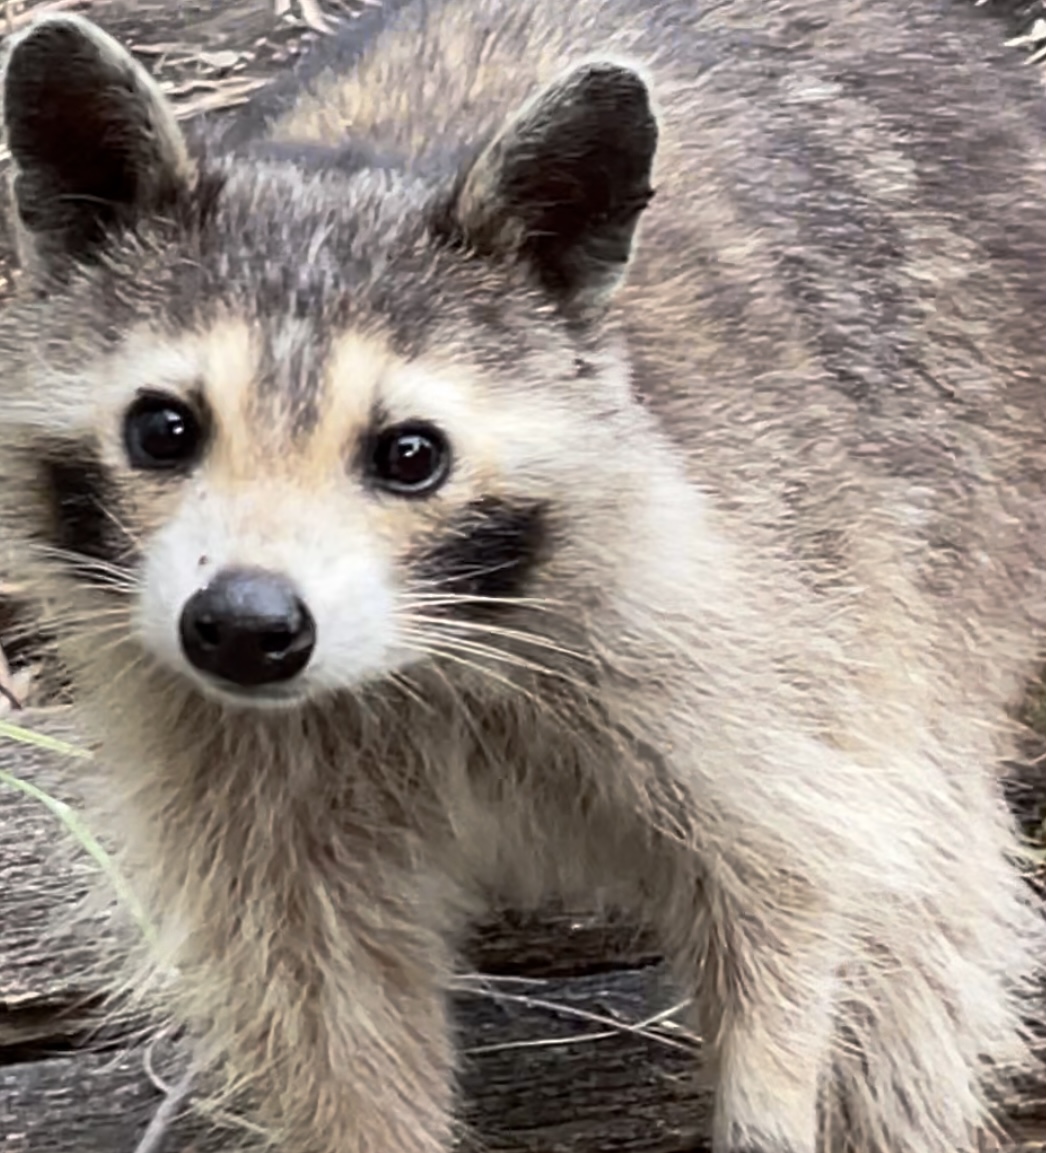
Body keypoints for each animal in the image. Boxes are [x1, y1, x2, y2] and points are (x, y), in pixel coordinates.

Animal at [1, 1, 1045, 1151]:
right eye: (163, 429)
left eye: (410, 454)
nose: (243, 623)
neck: (416, 650)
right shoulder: (221, 744)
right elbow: (324, 992)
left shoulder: (772, 630)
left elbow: (799, 894)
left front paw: (769, 1096)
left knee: (924, 947)